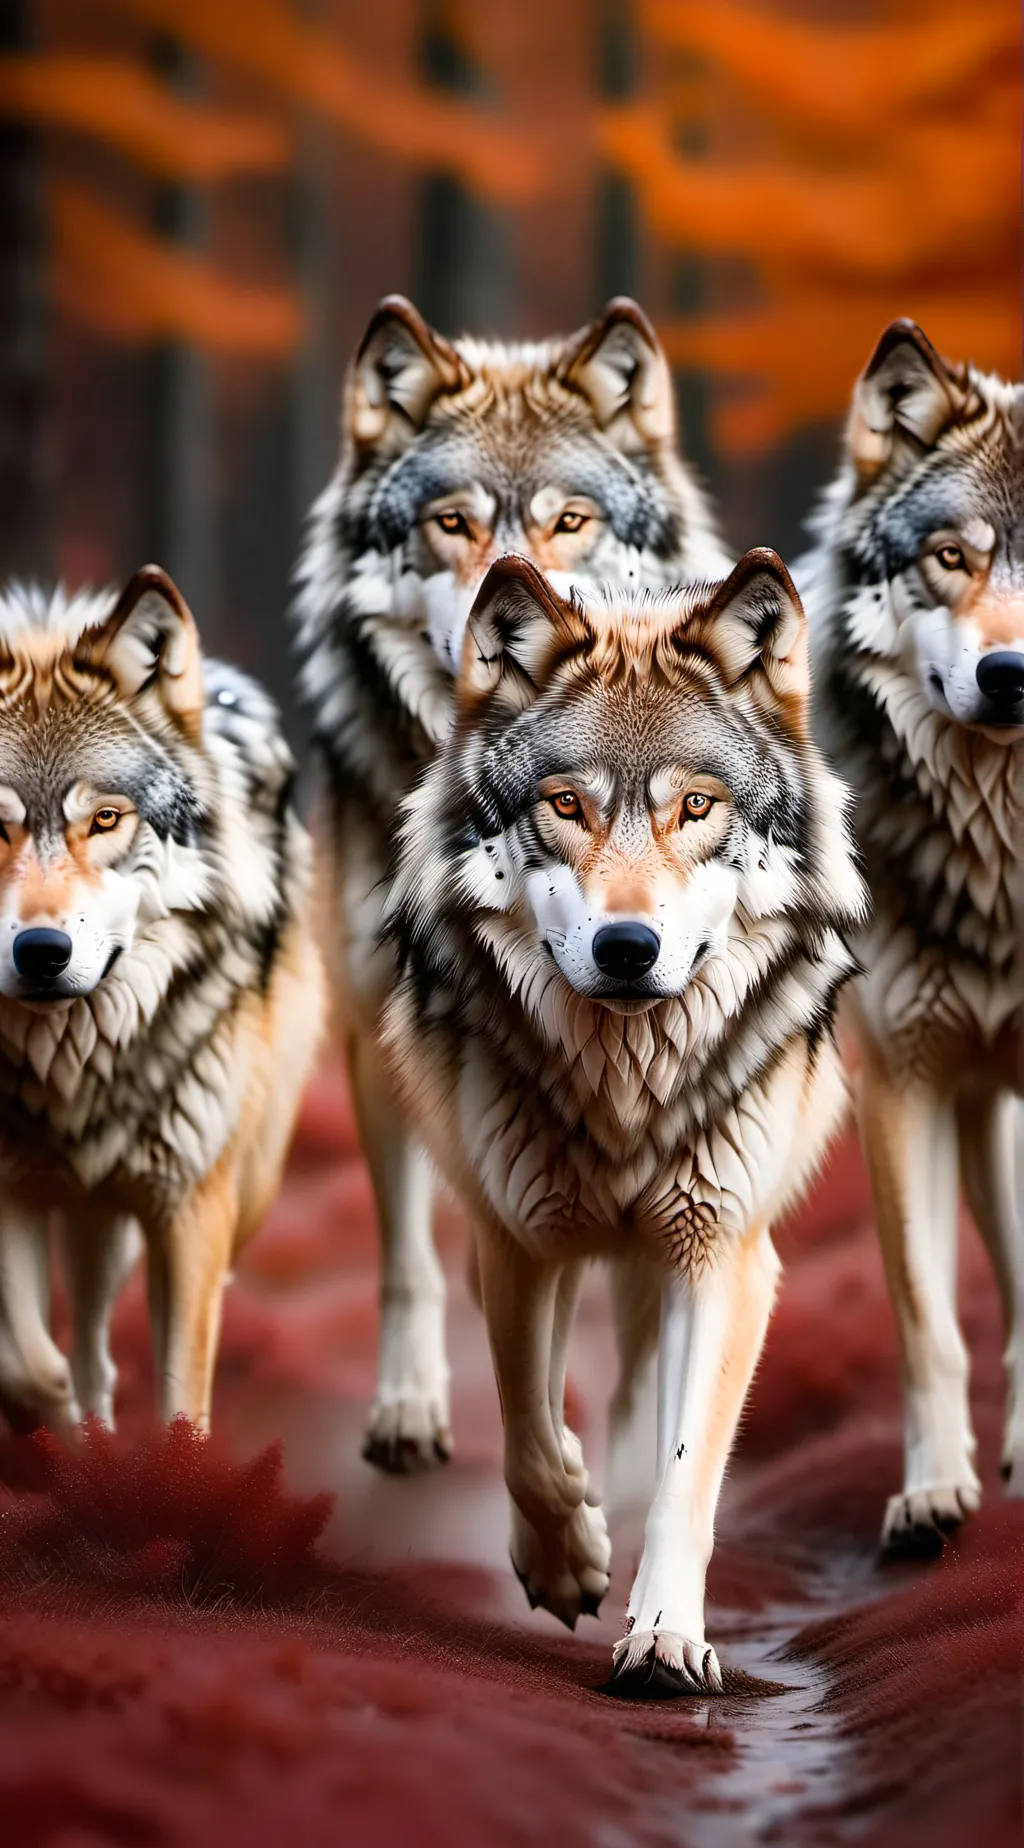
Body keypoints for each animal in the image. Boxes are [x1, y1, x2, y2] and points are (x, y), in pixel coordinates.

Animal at [0, 566, 323, 1438]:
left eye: (105, 819)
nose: (39, 952)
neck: (71, 1071)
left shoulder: (189, 1211)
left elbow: (182, 1400)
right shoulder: (11, 1189)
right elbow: (25, 1358)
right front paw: (50, 1420)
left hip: (236, 1187)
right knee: (84, 1344)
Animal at [292, 293, 732, 1472]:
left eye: (568, 520)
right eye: (451, 522)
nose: (509, 614)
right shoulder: (384, 1025)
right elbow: (410, 1251)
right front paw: (409, 1404)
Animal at [382, 550, 864, 1690]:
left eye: (694, 807)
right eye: (566, 805)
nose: (628, 948)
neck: (624, 1092)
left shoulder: (724, 1252)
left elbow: (691, 1471)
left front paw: (665, 1636)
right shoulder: (519, 1236)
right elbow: (524, 1423)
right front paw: (564, 1559)